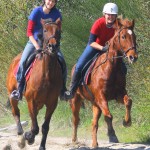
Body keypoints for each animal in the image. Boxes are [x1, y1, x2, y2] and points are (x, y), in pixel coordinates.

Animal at [6, 19, 62, 149]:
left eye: (58, 31)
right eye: (45, 30)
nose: (52, 46)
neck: (47, 75)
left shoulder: (52, 103)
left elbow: (45, 127)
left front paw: (41, 146)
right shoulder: (31, 100)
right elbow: (35, 127)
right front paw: (28, 137)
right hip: (13, 96)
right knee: (16, 113)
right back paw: (21, 138)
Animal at [69, 17, 138, 148]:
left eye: (134, 36)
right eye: (123, 36)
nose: (133, 57)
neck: (111, 68)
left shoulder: (118, 94)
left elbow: (128, 102)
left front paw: (126, 122)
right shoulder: (101, 97)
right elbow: (109, 116)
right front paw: (113, 134)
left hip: (95, 104)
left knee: (94, 122)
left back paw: (96, 141)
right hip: (76, 100)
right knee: (76, 120)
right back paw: (75, 140)